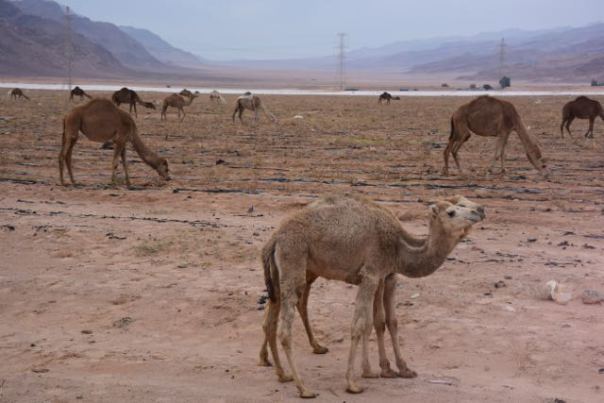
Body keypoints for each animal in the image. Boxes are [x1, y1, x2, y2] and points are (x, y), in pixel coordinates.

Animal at [260, 195, 486, 398]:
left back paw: (282, 373)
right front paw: (353, 383)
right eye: (452, 212)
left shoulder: (384, 275)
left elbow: (382, 321)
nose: (480, 210)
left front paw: (394, 369)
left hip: (285, 274)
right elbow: (360, 325)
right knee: (286, 327)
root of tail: (275, 238)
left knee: (273, 316)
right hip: (294, 262)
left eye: (466, 203)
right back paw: (304, 388)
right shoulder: (371, 274)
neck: (399, 246)